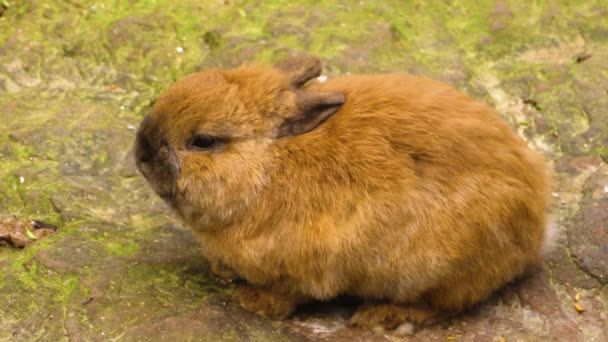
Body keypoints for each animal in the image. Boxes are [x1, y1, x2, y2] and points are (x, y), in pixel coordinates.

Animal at [135, 54, 552, 332]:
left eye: (203, 141)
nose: (140, 154)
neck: (269, 165)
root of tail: (536, 225)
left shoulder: (302, 269)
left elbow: (285, 296)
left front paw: (252, 303)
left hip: (435, 268)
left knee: (442, 304)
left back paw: (381, 317)